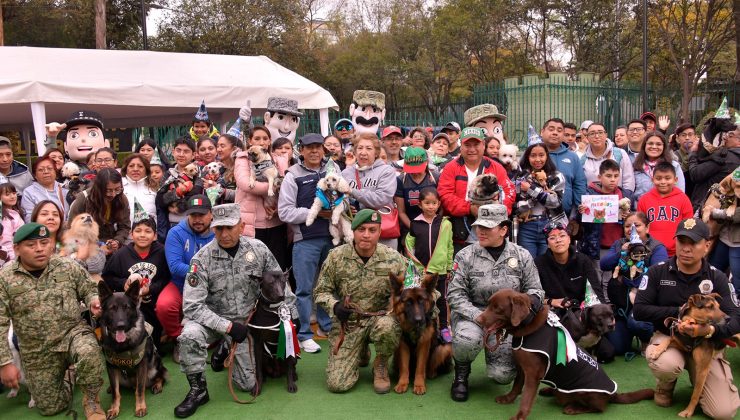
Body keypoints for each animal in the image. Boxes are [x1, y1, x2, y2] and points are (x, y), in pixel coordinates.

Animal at [97, 280, 167, 418]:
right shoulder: (111, 366)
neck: (123, 344)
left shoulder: (142, 366)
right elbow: (116, 392)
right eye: (112, 308)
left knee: (162, 375)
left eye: (127, 308)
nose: (121, 326)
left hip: (154, 366)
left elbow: (139, 389)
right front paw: (114, 408)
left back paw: (157, 385)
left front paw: (140, 407)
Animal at [474, 290, 652, 418]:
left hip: (585, 392)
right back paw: (548, 391)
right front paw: (508, 399)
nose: (477, 319)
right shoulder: (522, 367)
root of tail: (613, 394)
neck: (527, 328)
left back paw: (573, 408)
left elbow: (526, 398)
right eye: (488, 305)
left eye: (497, 309)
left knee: (599, 408)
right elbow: (517, 385)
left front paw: (519, 416)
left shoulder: (533, 373)